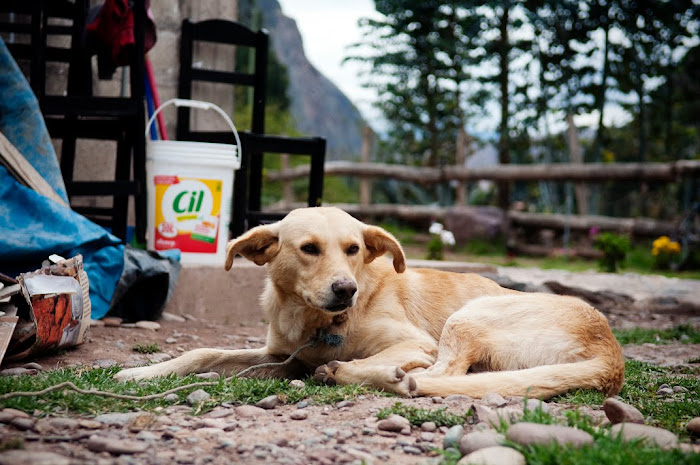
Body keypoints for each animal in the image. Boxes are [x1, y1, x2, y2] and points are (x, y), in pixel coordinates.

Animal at [117, 207, 628, 398]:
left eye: (354, 249)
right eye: (309, 249)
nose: (347, 289)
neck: (319, 322)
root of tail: (611, 353)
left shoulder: (415, 342)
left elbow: (385, 361)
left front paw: (357, 369)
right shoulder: (280, 355)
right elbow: (200, 352)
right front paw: (140, 373)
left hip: (467, 317)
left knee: (437, 376)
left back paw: (370, 375)